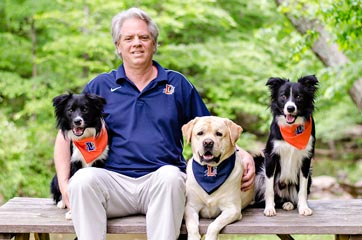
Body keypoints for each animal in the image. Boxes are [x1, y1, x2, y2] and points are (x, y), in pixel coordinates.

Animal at [253, 75, 318, 218]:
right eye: (283, 96)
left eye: (299, 97)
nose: (290, 108)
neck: (292, 128)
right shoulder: (270, 156)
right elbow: (269, 189)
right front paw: (269, 208)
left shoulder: (306, 159)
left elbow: (302, 189)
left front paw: (303, 207)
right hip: (258, 164)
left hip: (310, 176)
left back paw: (288, 204)